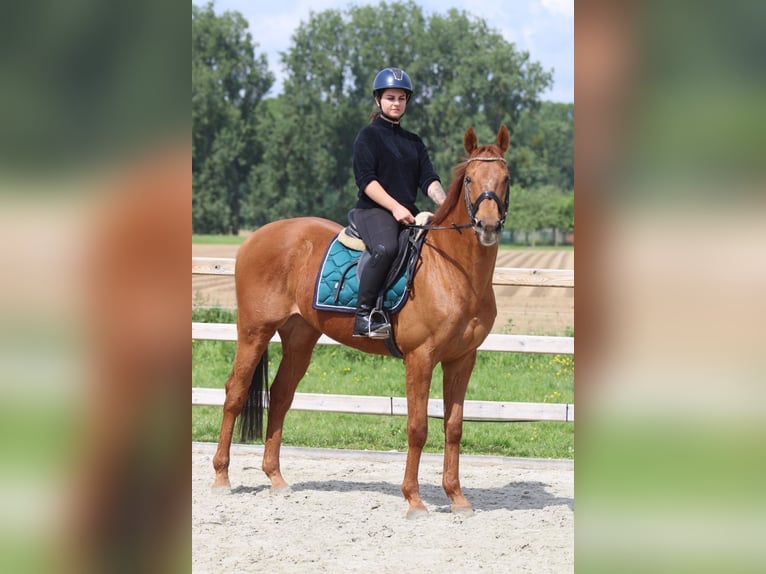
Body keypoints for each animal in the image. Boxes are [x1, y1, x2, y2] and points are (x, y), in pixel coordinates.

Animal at [212, 125, 511, 517]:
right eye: (470, 179)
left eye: (506, 179)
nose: (487, 226)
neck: (452, 270)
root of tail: (257, 237)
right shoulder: (421, 358)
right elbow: (417, 427)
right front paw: (414, 500)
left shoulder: (462, 359)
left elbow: (454, 427)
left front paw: (457, 497)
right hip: (254, 330)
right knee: (235, 392)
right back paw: (221, 477)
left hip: (299, 336)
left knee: (280, 396)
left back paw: (276, 479)